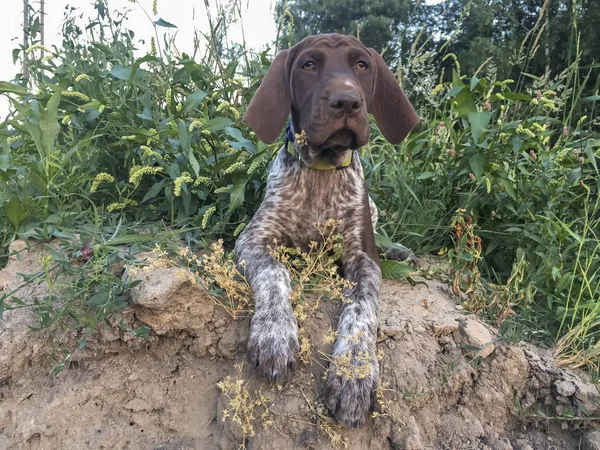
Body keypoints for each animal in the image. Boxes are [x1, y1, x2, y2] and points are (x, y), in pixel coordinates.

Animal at [234, 33, 418, 428]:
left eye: (361, 65)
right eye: (309, 65)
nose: (346, 100)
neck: (321, 171)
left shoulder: (363, 257)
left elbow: (363, 307)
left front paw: (353, 372)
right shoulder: (253, 239)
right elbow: (275, 272)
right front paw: (274, 333)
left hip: (373, 208)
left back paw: (399, 250)